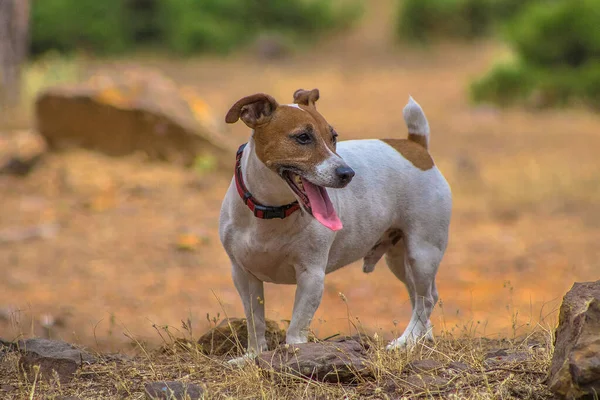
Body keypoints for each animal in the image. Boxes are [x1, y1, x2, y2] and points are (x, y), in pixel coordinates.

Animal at [219, 89, 450, 360]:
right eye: (303, 137)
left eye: (333, 137)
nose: (347, 173)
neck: (273, 211)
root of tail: (416, 146)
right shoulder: (243, 274)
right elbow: (255, 322)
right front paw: (253, 356)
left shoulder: (311, 275)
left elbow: (297, 326)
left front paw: (296, 354)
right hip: (399, 259)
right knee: (417, 296)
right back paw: (422, 338)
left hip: (422, 253)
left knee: (427, 299)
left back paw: (407, 340)